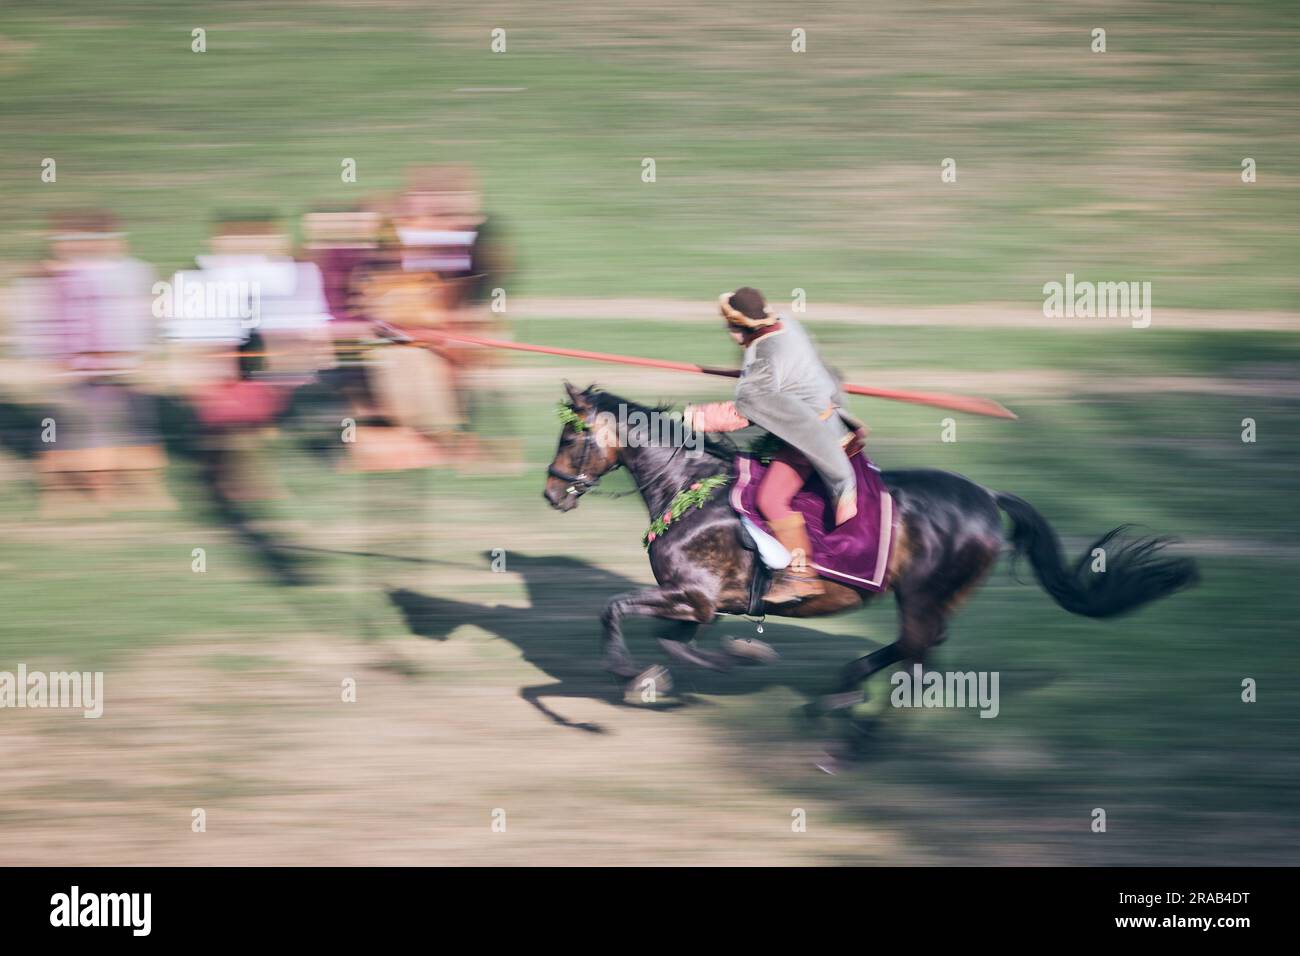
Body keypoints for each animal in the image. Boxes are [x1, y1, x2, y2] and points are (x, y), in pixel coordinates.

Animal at [540, 387, 1196, 712]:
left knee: (917, 645)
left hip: (923, 593)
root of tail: (987, 495)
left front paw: (632, 672)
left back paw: (850, 704)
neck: (690, 489)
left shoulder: (694, 597)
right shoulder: (701, 606)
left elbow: (616, 609)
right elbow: (677, 643)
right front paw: (695, 667)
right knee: (921, 648)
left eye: (572, 435)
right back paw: (849, 689)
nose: (550, 492)